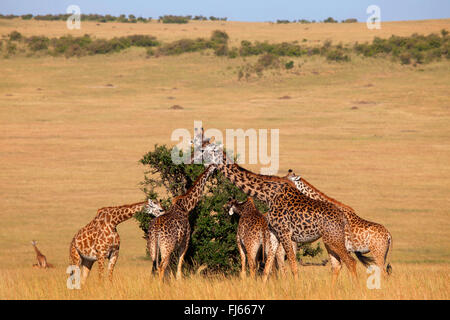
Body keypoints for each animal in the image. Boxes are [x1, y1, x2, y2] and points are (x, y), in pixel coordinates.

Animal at [193, 138, 358, 284]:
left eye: (204, 149)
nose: (194, 159)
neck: (267, 194)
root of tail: (343, 217)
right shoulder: (274, 233)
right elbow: (267, 268)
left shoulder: (285, 232)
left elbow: (292, 266)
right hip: (331, 240)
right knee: (341, 264)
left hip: (333, 238)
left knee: (351, 262)